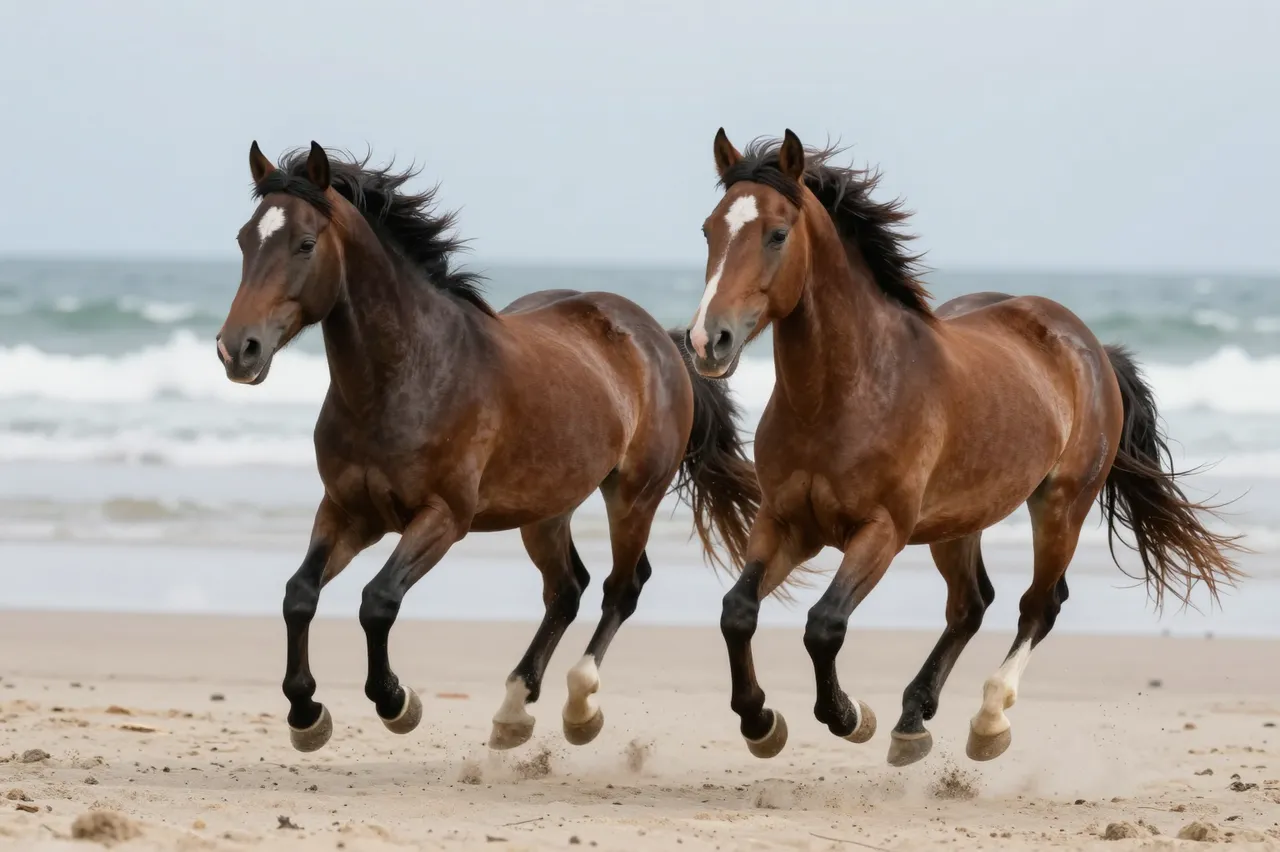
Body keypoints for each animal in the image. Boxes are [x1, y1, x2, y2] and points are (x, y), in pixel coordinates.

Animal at [216, 141, 759, 754]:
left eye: (305, 244)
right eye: (244, 239)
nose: (236, 350)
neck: (406, 376)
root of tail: (662, 340)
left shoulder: (443, 518)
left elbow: (378, 601)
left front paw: (396, 702)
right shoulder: (348, 511)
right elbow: (299, 594)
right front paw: (307, 713)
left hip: (633, 496)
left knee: (621, 587)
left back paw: (579, 707)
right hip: (545, 510)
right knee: (567, 589)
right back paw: (513, 711)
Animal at [683, 128, 1243, 766]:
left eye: (777, 234)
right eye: (709, 229)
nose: (707, 340)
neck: (843, 395)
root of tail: (1091, 346)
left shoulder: (881, 531)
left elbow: (824, 624)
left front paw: (849, 717)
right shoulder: (786, 523)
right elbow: (737, 611)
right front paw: (760, 722)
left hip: (1060, 506)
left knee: (1039, 604)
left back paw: (988, 720)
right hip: (958, 523)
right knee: (972, 604)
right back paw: (911, 720)